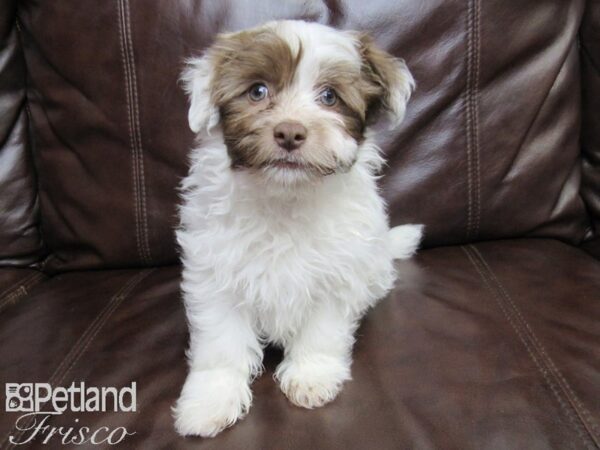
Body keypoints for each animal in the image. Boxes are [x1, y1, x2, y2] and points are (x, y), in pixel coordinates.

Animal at [173, 19, 424, 438]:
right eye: (258, 91)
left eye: (330, 97)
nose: (290, 132)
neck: (285, 197)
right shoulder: (214, 273)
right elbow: (221, 343)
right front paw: (210, 400)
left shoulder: (339, 271)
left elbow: (323, 330)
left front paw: (312, 376)